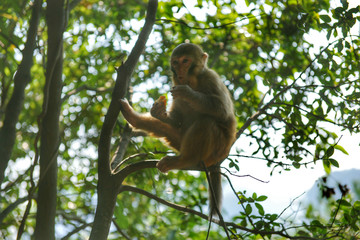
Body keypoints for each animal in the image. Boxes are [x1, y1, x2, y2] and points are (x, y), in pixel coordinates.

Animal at [119, 43, 238, 218]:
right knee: (166, 129)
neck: (193, 81)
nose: (180, 71)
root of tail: (219, 158)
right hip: (179, 141)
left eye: (185, 61)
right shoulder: (174, 83)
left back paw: (185, 160)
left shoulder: (211, 78)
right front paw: (159, 112)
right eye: (176, 62)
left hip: (214, 151)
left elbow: (222, 110)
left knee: (206, 122)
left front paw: (188, 93)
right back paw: (133, 118)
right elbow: (176, 120)